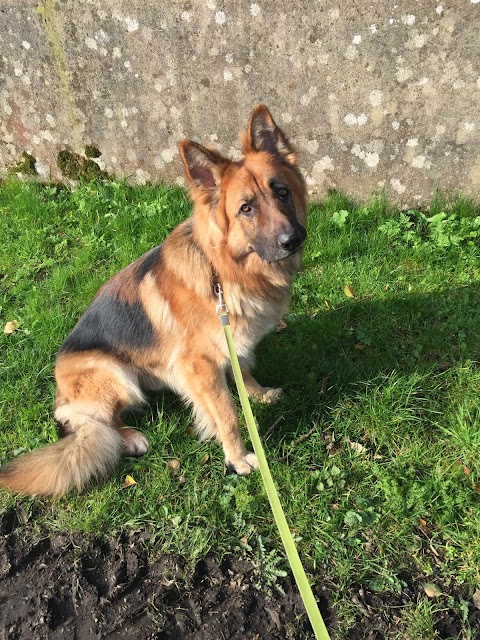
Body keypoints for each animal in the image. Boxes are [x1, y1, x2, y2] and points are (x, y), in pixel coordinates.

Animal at [0, 105, 308, 498]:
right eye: (246, 209)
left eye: (281, 192)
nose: (292, 239)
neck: (224, 270)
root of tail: (61, 390)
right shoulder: (200, 366)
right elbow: (226, 414)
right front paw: (238, 458)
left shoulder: (231, 342)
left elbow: (245, 369)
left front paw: (258, 393)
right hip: (115, 375)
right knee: (96, 423)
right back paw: (129, 437)